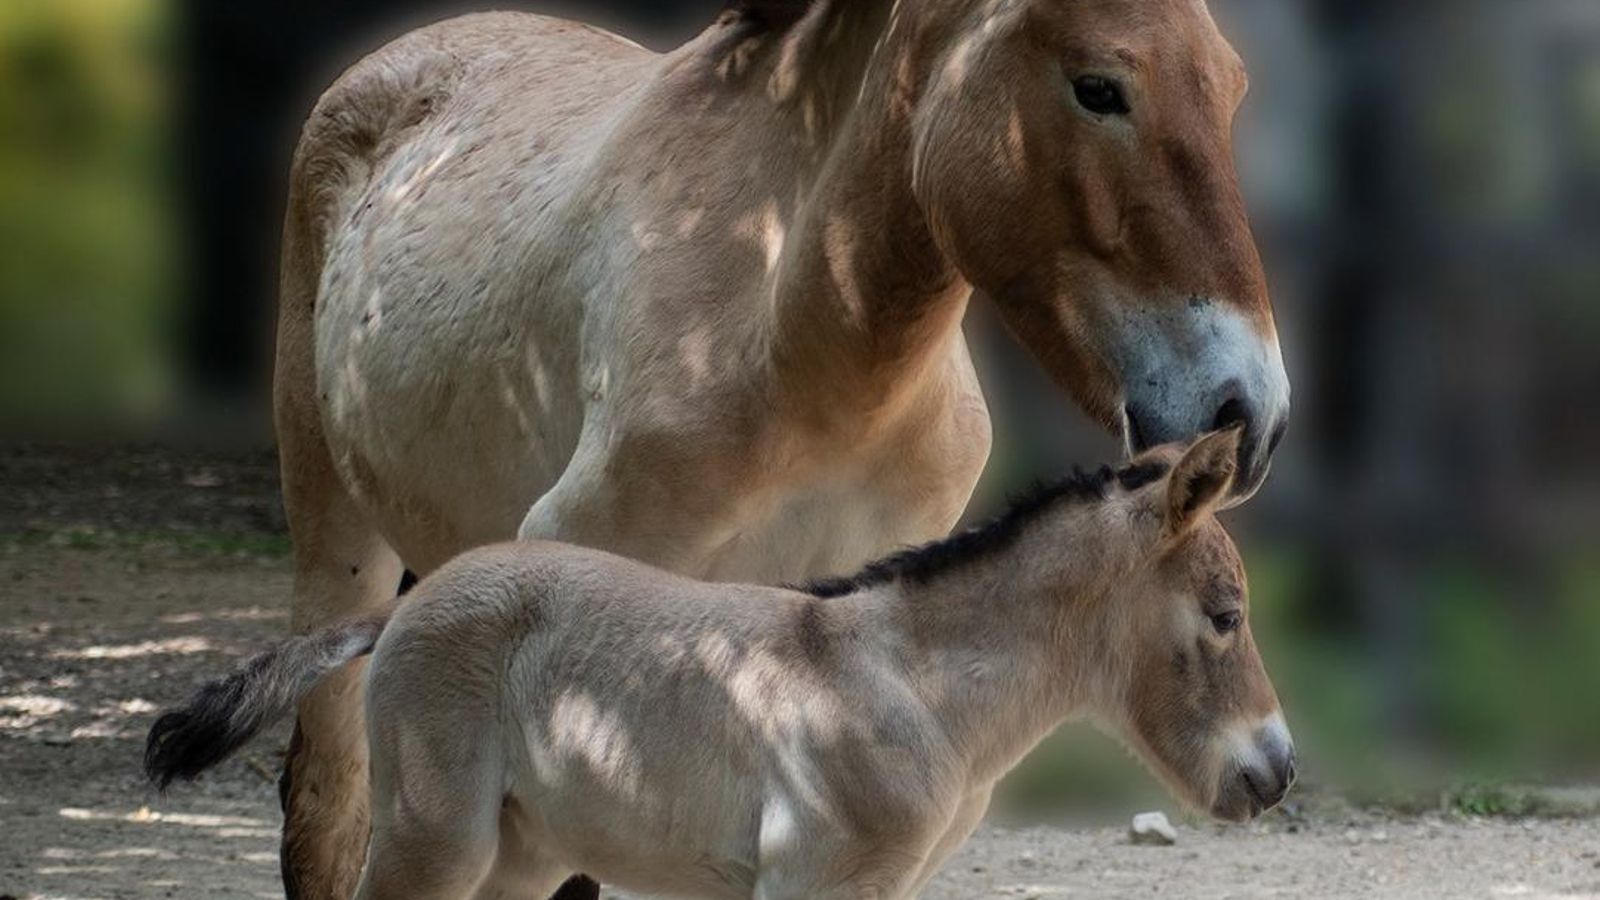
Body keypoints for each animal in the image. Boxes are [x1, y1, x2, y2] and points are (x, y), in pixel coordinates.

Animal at [148, 429, 1294, 900]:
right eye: (1225, 615)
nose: (1278, 772)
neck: (913, 692)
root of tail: (407, 604)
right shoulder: (807, 885)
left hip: (523, 856)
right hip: (436, 838)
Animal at [271, 0, 1291, 895]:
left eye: (1237, 86)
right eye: (1098, 87)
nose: (1252, 412)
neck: (804, 350)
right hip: (339, 546)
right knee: (324, 807)